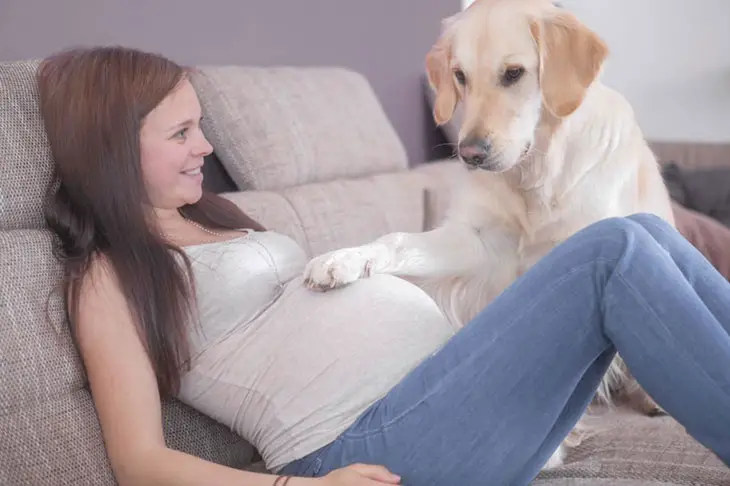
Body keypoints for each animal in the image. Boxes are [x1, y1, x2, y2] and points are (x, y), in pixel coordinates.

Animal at [300, 0, 672, 470]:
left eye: (513, 73)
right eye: (460, 76)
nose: (469, 154)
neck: (536, 176)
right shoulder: (478, 242)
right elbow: (398, 240)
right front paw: (345, 259)